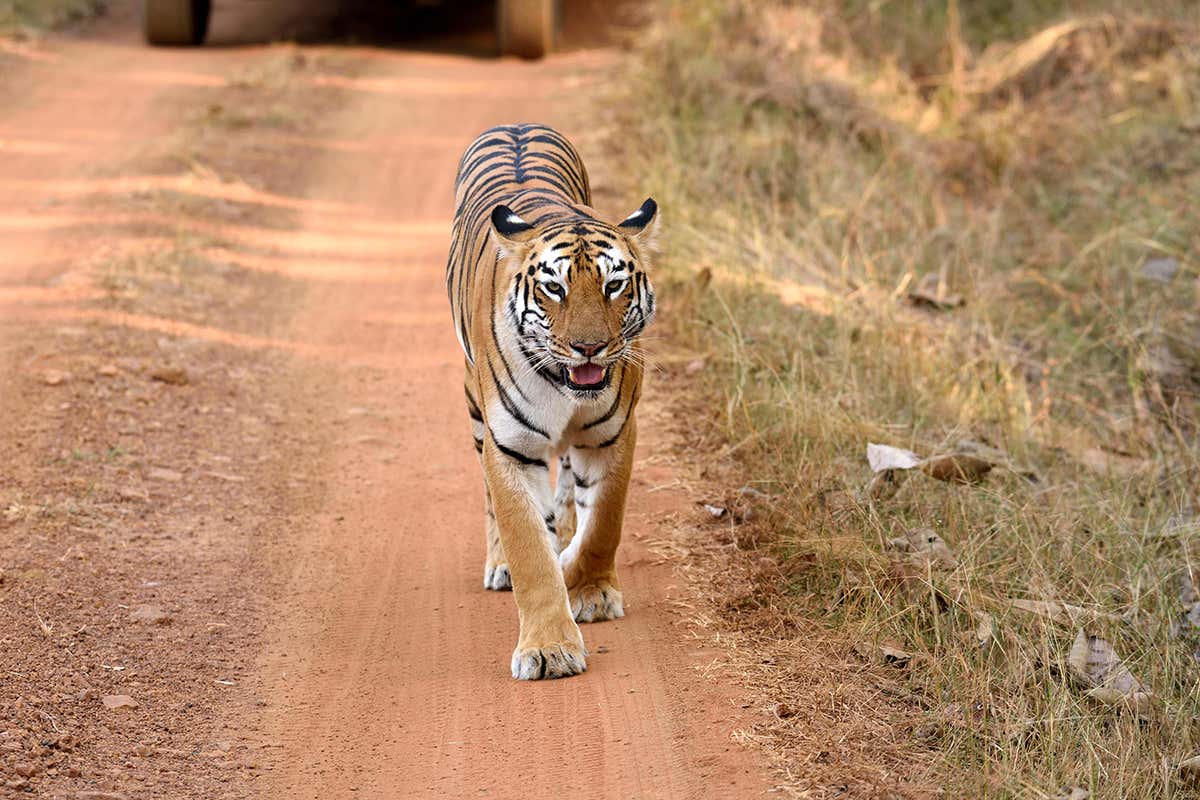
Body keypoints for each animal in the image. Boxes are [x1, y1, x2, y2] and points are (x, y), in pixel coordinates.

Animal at [445, 123, 658, 680]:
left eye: (614, 285)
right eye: (554, 289)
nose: (589, 347)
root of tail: (516, 123)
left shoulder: (613, 435)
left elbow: (603, 522)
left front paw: (591, 591)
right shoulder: (510, 448)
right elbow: (529, 550)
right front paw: (547, 649)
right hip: (475, 409)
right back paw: (501, 563)